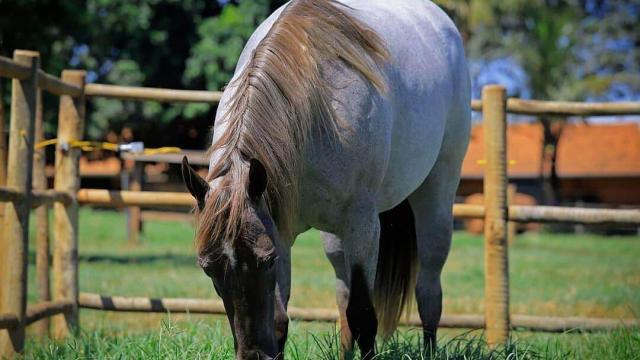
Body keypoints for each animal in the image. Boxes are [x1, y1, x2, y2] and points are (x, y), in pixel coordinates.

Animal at [180, 0, 470, 358]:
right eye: (208, 267)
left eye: (266, 261)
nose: (254, 354)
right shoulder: (279, 225)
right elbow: (282, 319)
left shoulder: (361, 224)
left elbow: (364, 314)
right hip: (334, 235)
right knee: (343, 294)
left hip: (436, 192)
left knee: (428, 290)